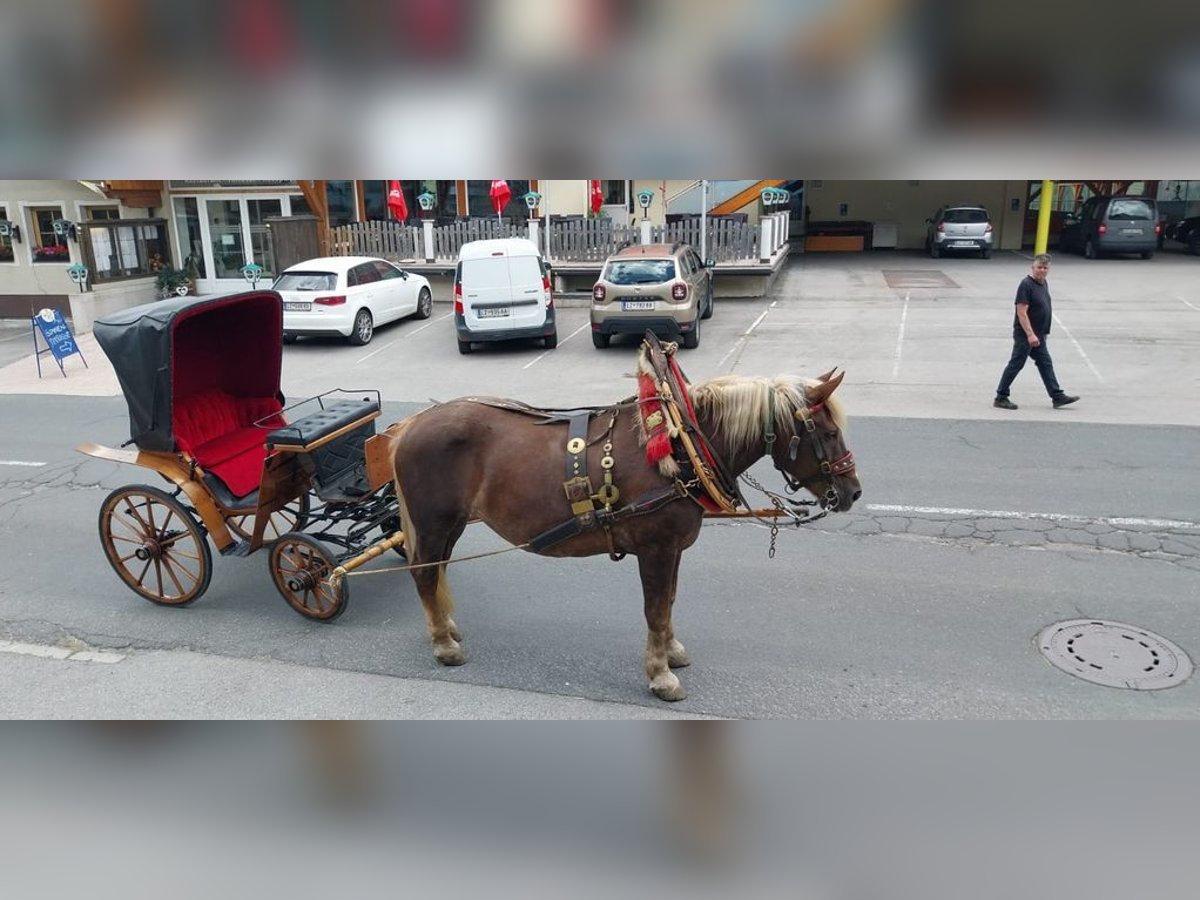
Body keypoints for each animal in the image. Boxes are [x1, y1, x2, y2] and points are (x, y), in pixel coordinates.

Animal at [388, 367, 859, 705]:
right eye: (830, 433)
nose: (853, 492)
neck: (682, 448)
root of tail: (413, 423)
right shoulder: (656, 549)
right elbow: (655, 610)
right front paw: (660, 676)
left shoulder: (673, 550)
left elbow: (669, 602)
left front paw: (671, 651)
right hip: (434, 522)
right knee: (424, 573)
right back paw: (443, 644)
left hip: (450, 524)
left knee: (436, 570)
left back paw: (446, 625)